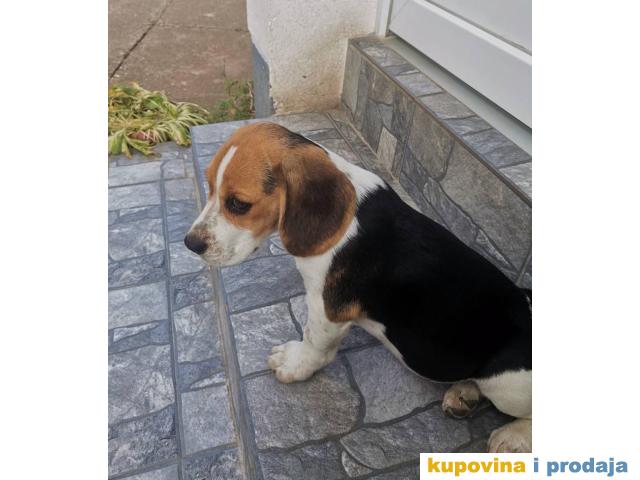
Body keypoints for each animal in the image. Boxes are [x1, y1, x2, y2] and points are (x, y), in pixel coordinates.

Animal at [184, 122, 532, 453]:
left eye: (238, 204)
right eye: (210, 187)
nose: (190, 244)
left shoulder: (327, 308)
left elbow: (313, 341)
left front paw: (294, 365)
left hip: (508, 387)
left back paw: (512, 436)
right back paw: (464, 393)